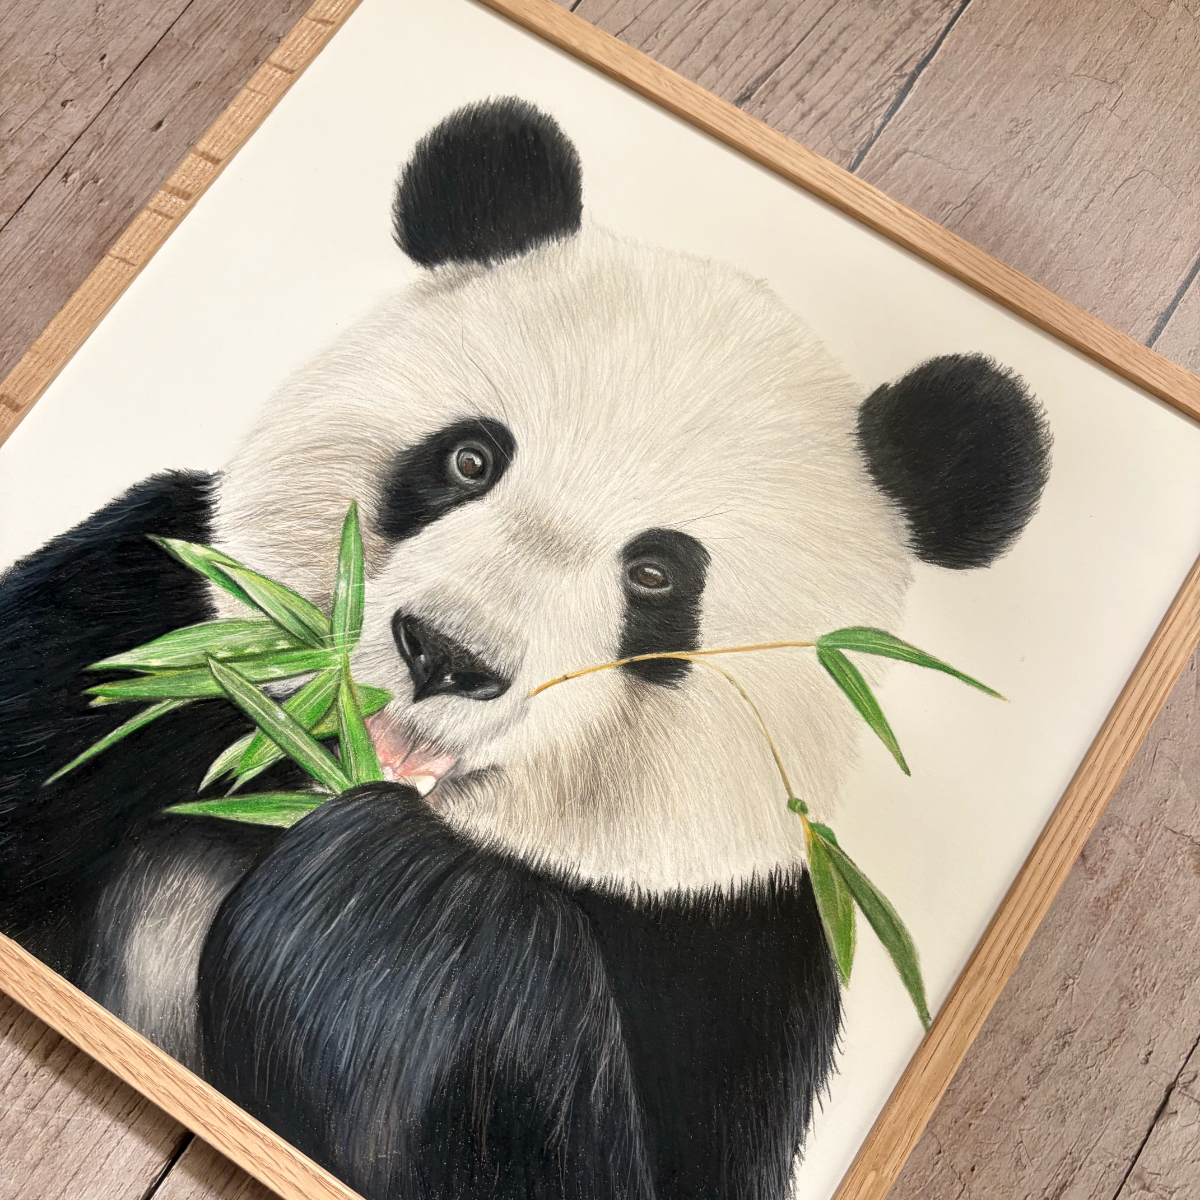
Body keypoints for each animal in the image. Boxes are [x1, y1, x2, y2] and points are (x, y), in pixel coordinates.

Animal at [0, 99, 1050, 1200]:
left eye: (657, 575)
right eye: (471, 458)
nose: (446, 656)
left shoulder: (738, 958)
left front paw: (403, 890)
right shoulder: (128, 622)